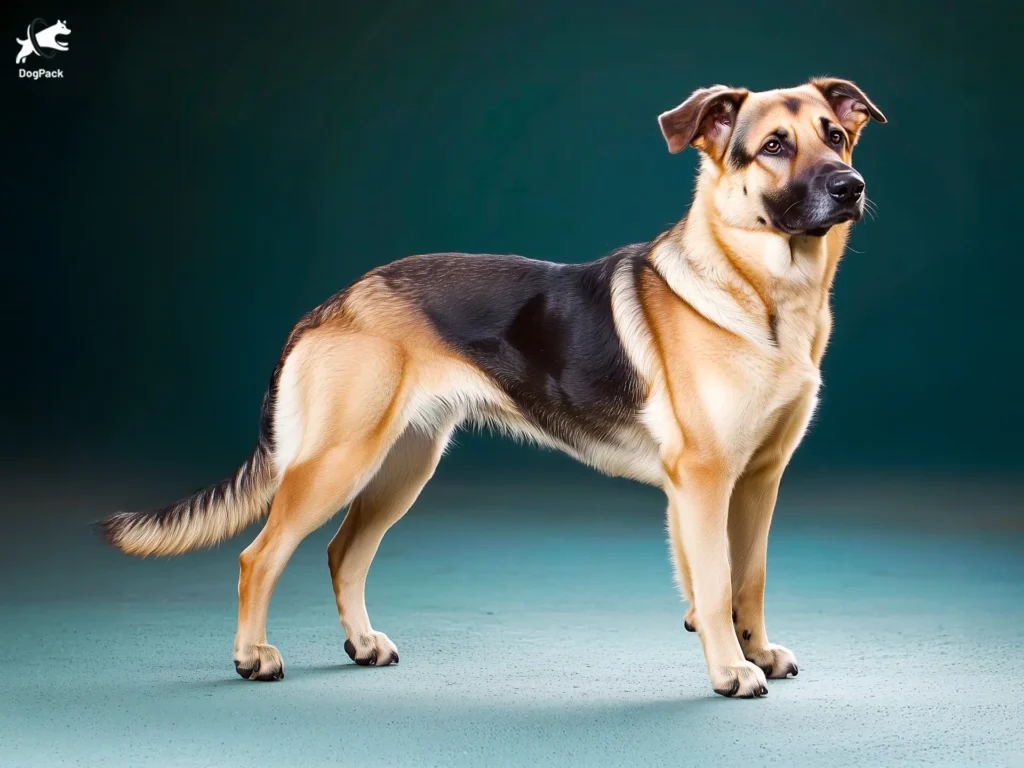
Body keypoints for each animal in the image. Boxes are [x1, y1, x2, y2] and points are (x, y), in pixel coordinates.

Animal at [101, 76, 888, 696]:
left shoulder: (756, 481)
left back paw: (362, 644)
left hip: (400, 469)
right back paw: (252, 656)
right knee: (259, 556)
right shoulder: (704, 481)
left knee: (341, 553)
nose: (850, 187)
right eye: (776, 146)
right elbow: (719, 581)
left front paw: (755, 651)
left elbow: (747, 577)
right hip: (335, 463)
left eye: (836, 137)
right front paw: (730, 671)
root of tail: (333, 302)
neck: (761, 295)